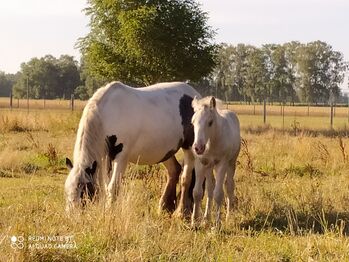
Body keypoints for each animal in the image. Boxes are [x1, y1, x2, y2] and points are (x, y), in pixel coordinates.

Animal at [63, 81, 197, 215]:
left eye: (84, 191)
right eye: (67, 190)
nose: (72, 215)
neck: (107, 114)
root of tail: (194, 94)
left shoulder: (121, 157)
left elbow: (113, 186)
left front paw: (110, 211)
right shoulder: (106, 157)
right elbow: (106, 186)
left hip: (189, 148)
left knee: (187, 177)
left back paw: (182, 211)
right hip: (165, 152)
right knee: (174, 170)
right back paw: (165, 207)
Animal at [189, 96, 241, 227]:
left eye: (210, 122)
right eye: (192, 122)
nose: (198, 148)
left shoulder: (221, 164)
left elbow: (218, 194)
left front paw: (217, 224)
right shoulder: (201, 163)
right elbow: (197, 192)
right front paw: (194, 222)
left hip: (231, 163)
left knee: (229, 186)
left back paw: (228, 216)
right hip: (209, 166)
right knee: (210, 188)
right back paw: (206, 218)